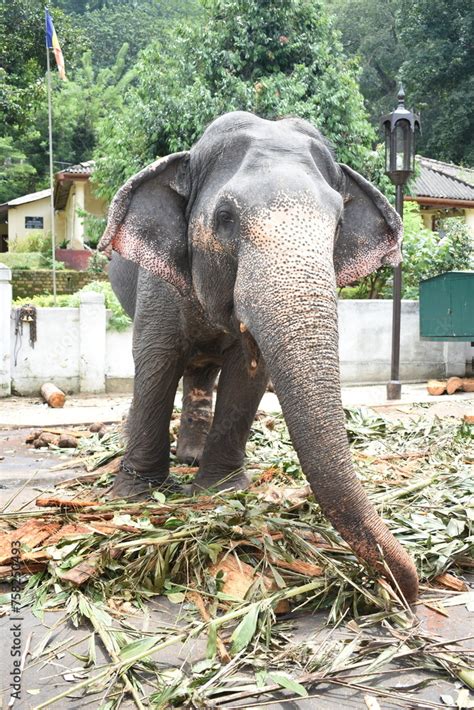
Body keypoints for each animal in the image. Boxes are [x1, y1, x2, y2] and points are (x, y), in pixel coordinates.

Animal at [100, 114, 418, 604]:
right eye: (225, 219)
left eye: (338, 223)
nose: (411, 591)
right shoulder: (158, 284)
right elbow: (155, 359)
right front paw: (135, 495)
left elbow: (246, 375)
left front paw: (221, 489)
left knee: (203, 371)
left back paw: (191, 457)